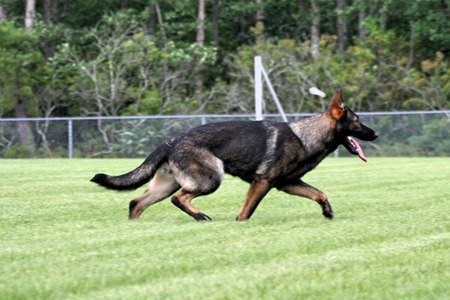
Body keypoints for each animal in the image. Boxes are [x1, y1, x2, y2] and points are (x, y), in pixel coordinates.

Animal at [90, 89, 376, 220]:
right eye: (357, 121)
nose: (375, 134)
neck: (305, 136)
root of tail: (172, 141)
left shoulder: (287, 183)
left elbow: (319, 193)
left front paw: (327, 212)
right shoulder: (263, 182)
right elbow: (246, 211)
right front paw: (239, 223)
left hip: (166, 185)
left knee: (136, 202)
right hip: (210, 179)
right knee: (179, 199)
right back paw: (200, 216)